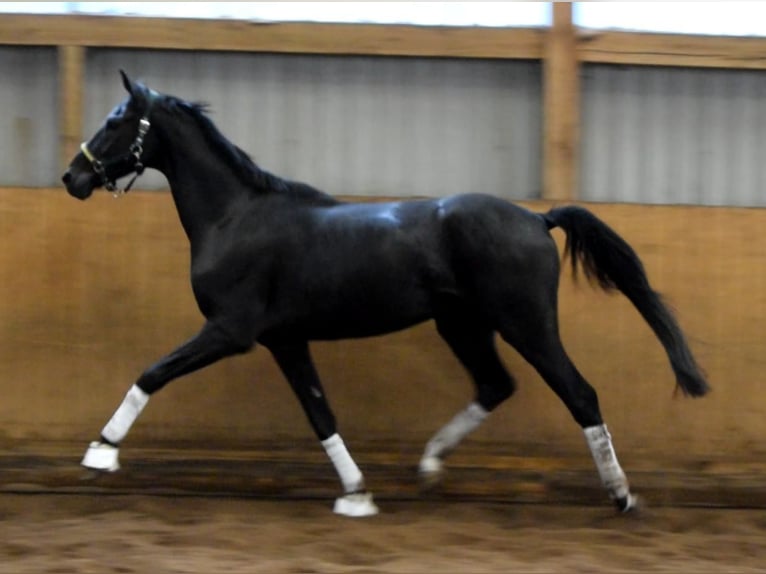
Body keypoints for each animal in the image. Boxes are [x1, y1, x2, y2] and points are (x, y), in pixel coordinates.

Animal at [63, 71, 712, 516]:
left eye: (116, 120)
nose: (74, 176)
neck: (236, 216)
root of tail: (537, 218)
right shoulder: (284, 341)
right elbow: (320, 414)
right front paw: (357, 494)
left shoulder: (230, 331)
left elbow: (152, 373)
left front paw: (100, 454)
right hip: (463, 324)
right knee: (495, 385)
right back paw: (428, 465)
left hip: (526, 324)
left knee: (579, 393)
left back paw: (621, 495)